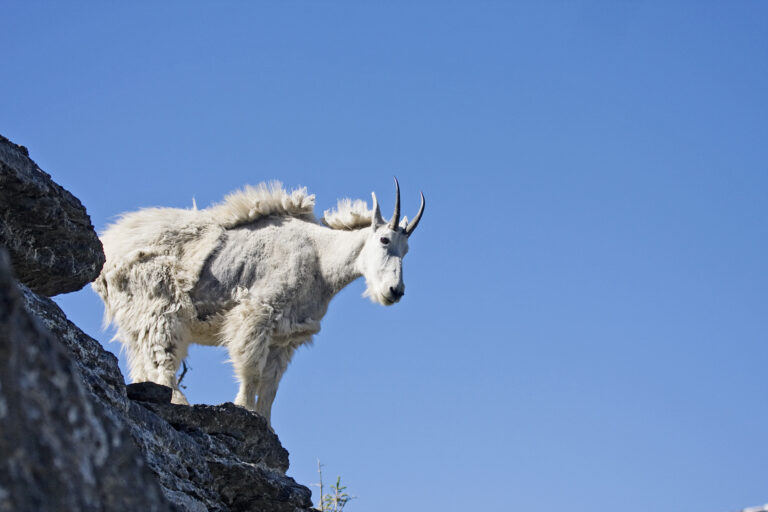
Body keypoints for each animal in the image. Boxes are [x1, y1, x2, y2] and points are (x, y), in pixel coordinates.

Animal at [93, 179, 424, 425]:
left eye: (407, 250)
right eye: (384, 240)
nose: (394, 291)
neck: (321, 258)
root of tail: (111, 249)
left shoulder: (285, 336)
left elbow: (270, 387)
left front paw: (265, 424)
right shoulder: (257, 314)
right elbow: (251, 370)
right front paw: (242, 410)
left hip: (136, 318)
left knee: (143, 361)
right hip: (161, 307)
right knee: (162, 361)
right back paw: (181, 403)